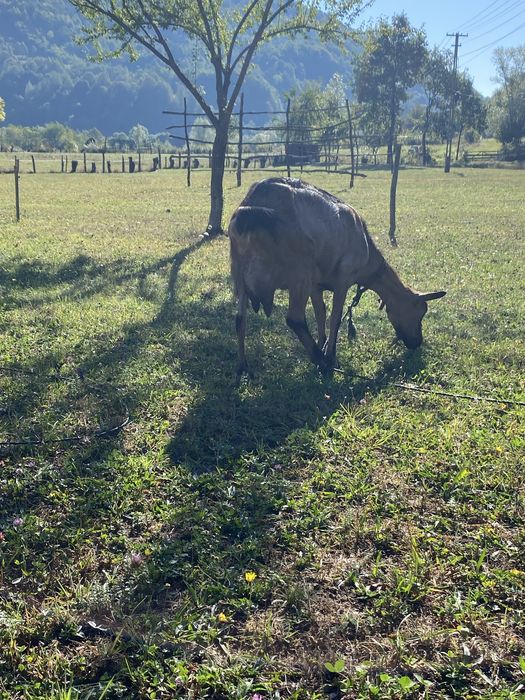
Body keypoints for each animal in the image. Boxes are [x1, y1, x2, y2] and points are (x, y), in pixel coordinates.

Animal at [228, 177, 446, 379]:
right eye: (420, 311)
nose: (417, 342)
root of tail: (251, 209)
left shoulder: (315, 285)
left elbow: (320, 314)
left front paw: (323, 344)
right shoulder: (343, 279)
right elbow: (335, 317)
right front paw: (330, 355)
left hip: (239, 273)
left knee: (240, 319)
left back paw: (242, 366)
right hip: (300, 271)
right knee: (294, 319)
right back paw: (320, 361)